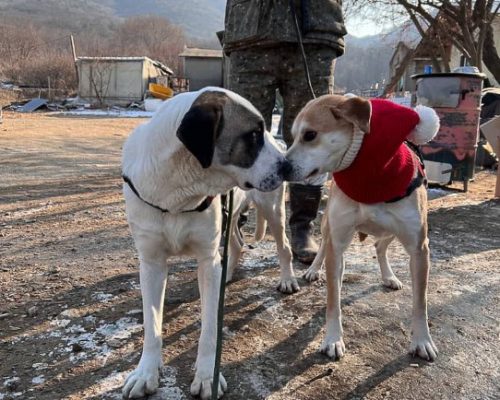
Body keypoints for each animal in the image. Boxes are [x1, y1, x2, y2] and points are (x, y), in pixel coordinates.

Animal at [121, 88, 292, 400]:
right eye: (253, 135)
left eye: (261, 131)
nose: (287, 166)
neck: (177, 192)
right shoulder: (151, 263)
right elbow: (152, 324)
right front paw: (146, 372)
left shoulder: (207, 260)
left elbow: (210, 327)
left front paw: (205, 376)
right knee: (236, 243)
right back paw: (230, 273)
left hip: (273, 211)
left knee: (283, 247)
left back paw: (287, 279)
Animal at [284, 94, 440, 362]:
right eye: (293, 137)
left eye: (310, 135)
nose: (281, 167)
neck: (370, 179)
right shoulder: (337, 242)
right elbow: (333, 300)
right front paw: (333, 339)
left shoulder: (420, 248)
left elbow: (421, 303)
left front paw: (422, 340)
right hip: (329, 228)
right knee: (324, 248)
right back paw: (314, 270)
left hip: (392, 231)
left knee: (379, 246)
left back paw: (389, 276)